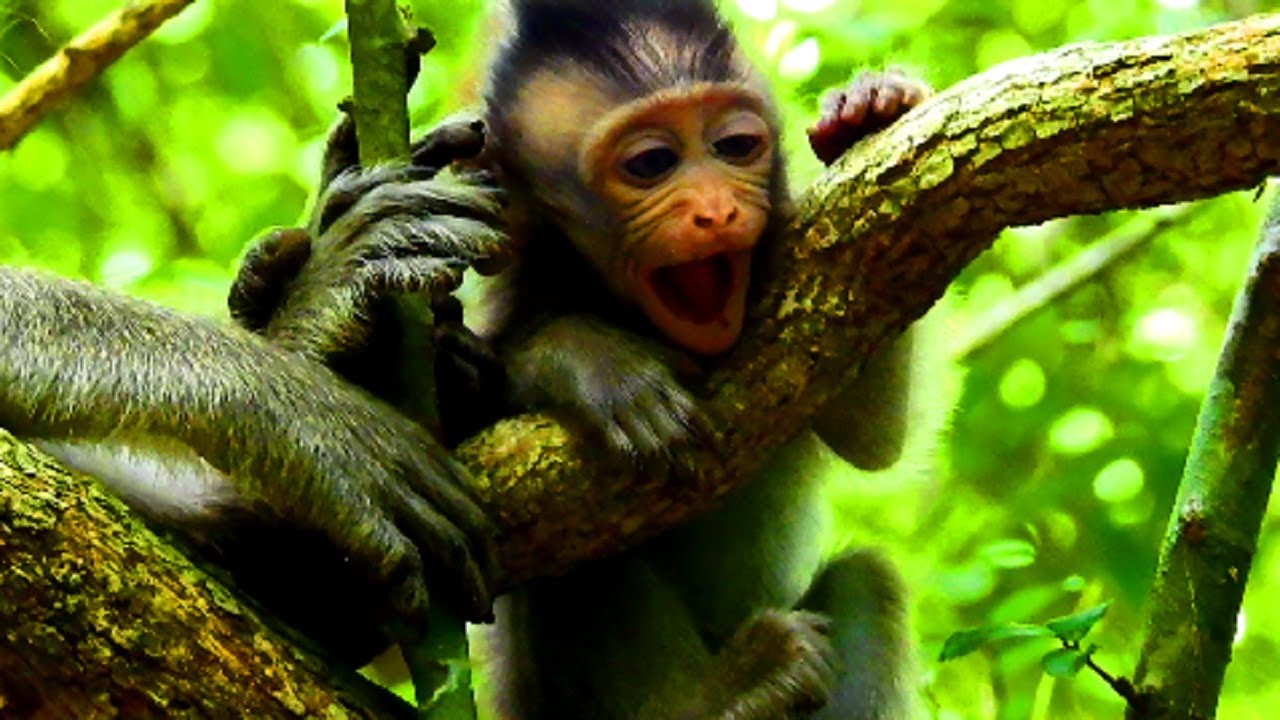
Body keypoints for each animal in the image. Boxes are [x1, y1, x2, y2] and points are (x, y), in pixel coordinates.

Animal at [229, 1, 931, 716]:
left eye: (735, 147)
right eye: (652, 162)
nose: (716, 210)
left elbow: (868, 432)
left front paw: (868, 114)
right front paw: (584, 359)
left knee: (868, 581)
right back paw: (719, 693)